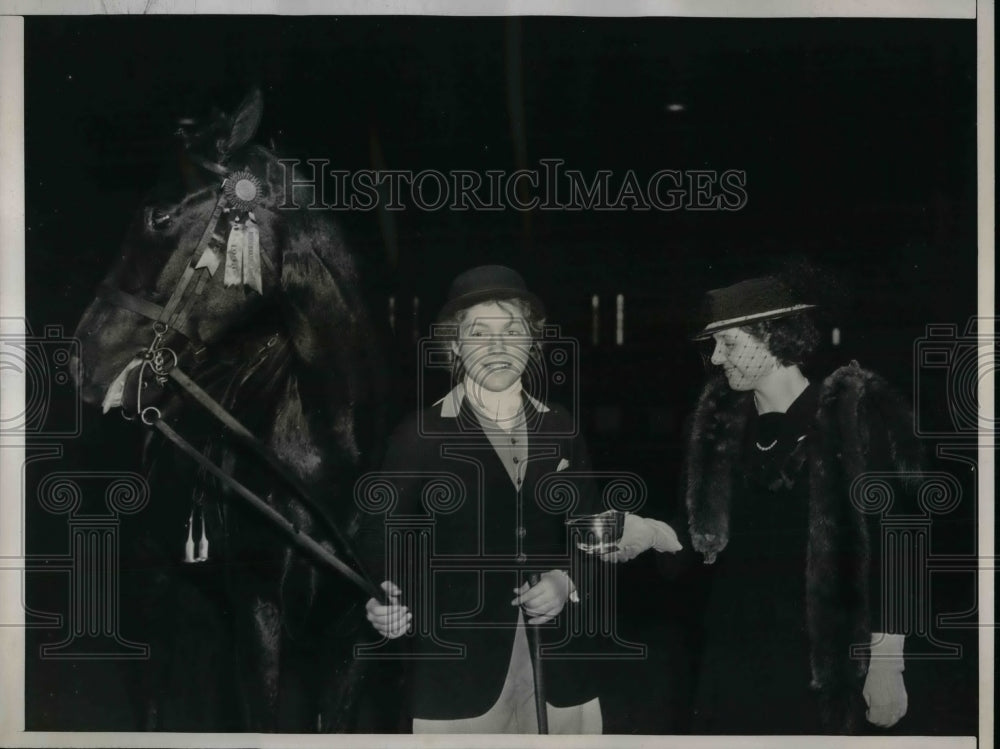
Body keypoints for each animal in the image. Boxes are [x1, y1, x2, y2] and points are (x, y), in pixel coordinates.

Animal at [70, 89, 388, 732]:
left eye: (159, 216)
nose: (81, 359)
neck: (325, 457)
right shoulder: (259, 621)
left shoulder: (354, 637)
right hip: (151, 583)